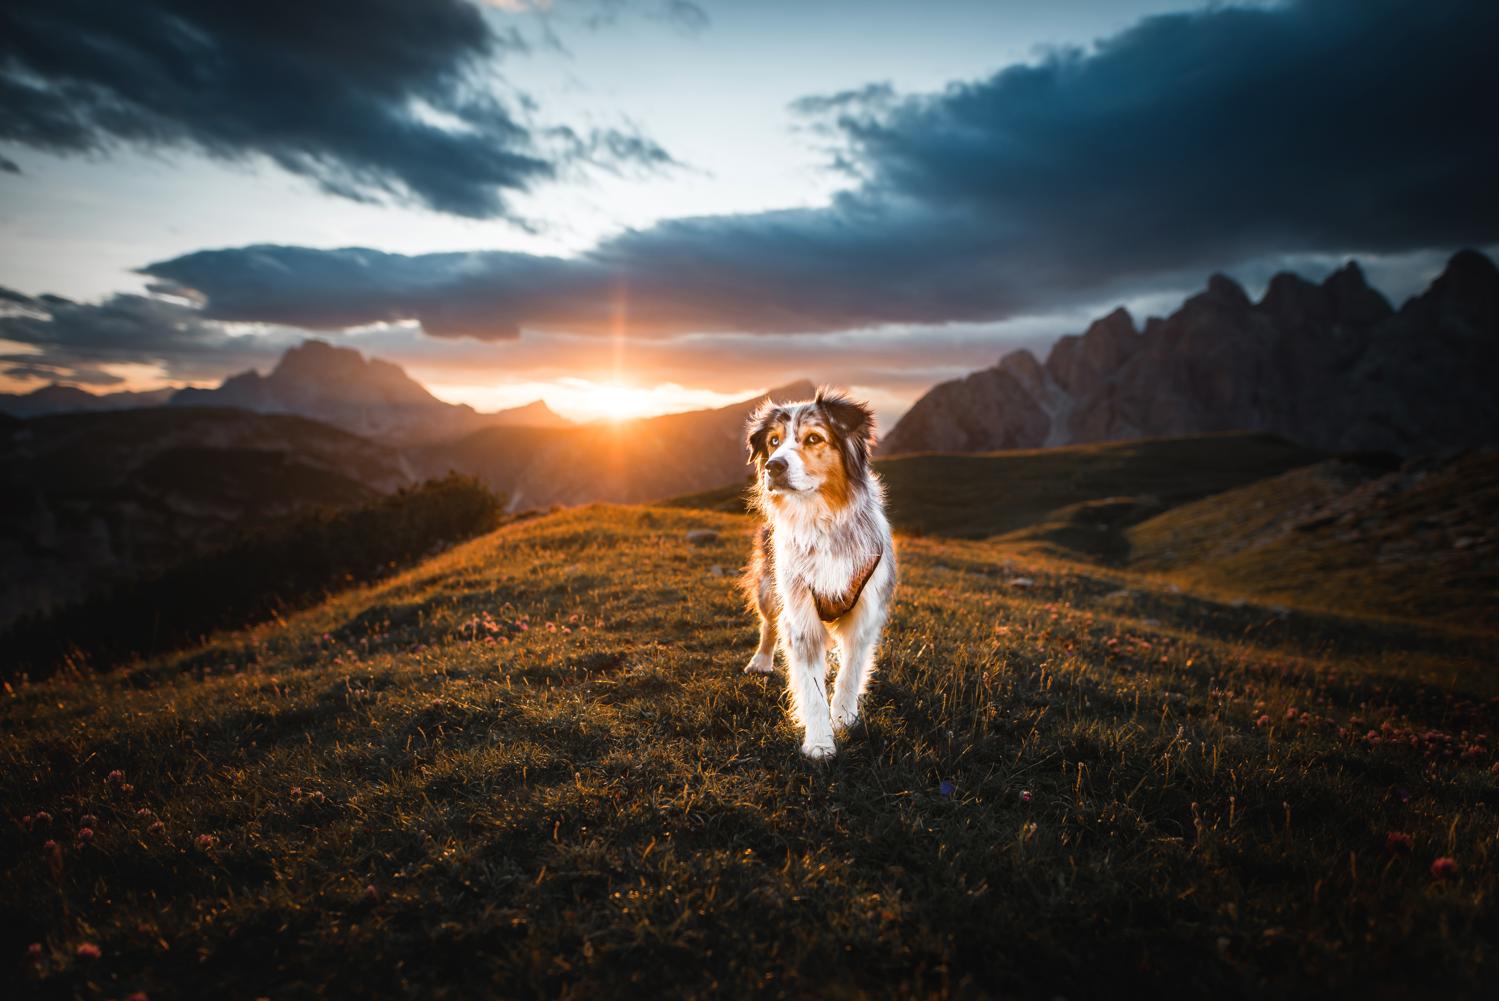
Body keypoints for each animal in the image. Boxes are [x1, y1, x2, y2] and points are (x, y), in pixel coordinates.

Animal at [740, 386, 893, 758]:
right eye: (774, 441)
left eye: (814, 438)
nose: (773, 466)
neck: (821, 521)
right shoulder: (800, 609)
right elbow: (810, 685)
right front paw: (820, 742)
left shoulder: (865, 611)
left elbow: (850, 672)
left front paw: (844, 717)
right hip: (769, 586)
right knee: (769, 623)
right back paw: (761, 661)